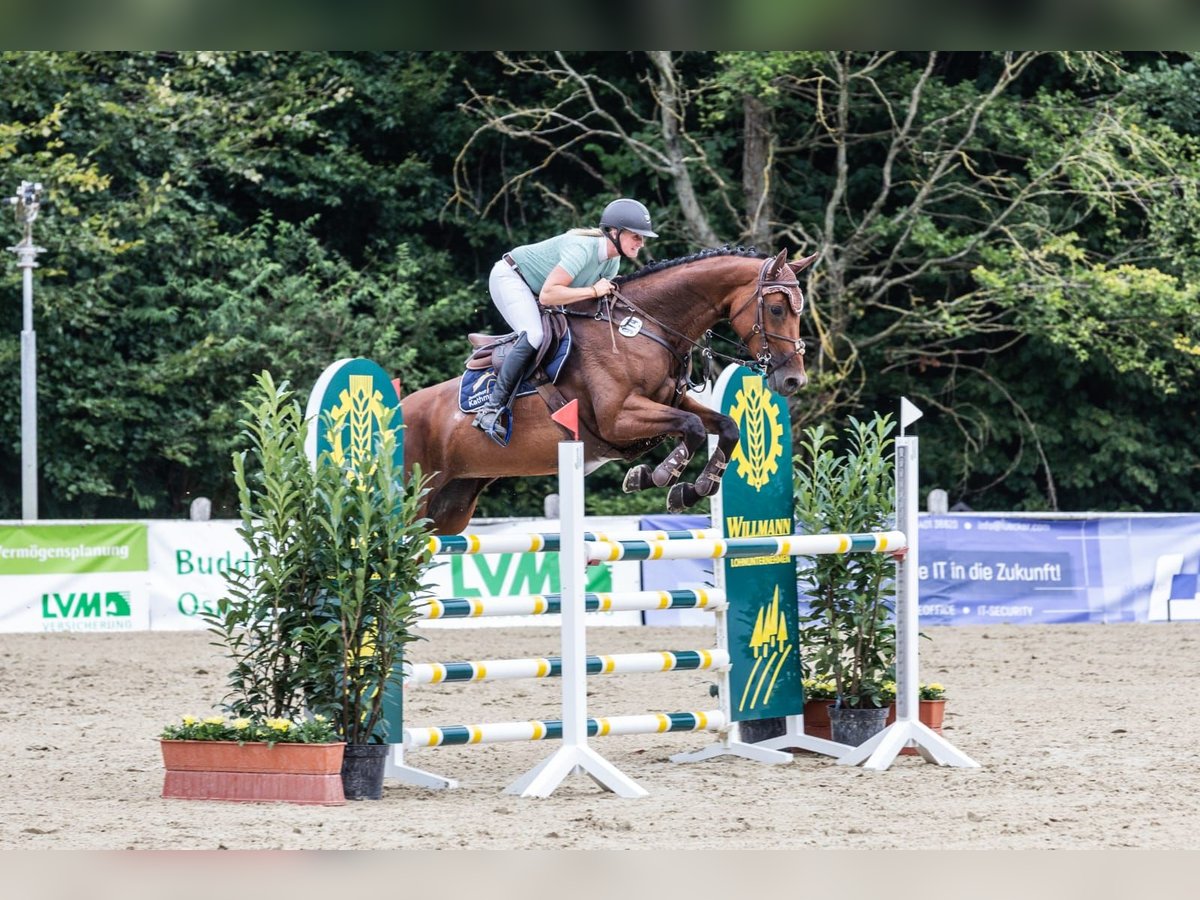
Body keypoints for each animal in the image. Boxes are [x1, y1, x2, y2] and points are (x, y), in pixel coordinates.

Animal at [400, 247, 816, 535]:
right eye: (777, 309)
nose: (793, 381)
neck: (643, 328)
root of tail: (398, 409)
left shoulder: (670, 401)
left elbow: (726, 426)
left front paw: (693, 488)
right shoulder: (618, 418)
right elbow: (693, 429)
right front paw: (658, 475)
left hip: (449, 510)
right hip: (414, 498)